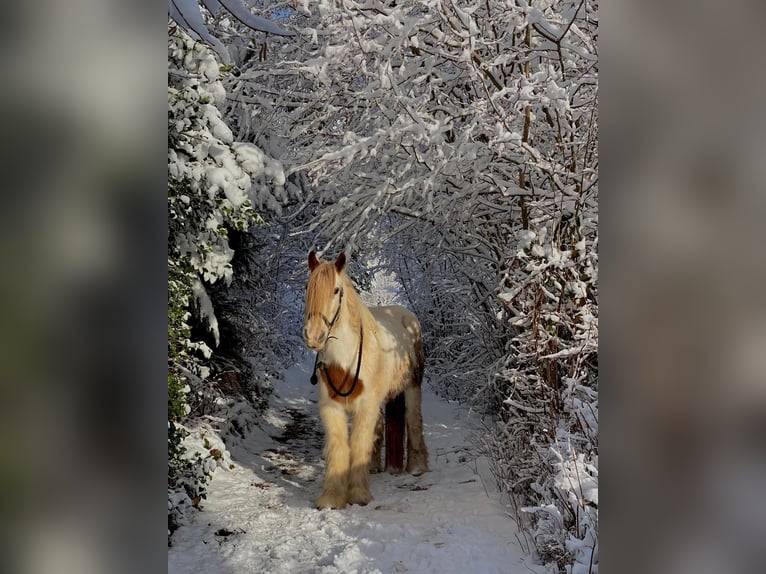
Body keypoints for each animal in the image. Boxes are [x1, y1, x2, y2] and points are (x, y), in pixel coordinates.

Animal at [303, 251, 429, 509]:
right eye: (308, 287)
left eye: (336, 290)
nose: (313, 336)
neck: (345, 363)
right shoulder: (332, 408)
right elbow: (339, 447)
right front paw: (332, 498)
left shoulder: (366, 406)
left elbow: (359, 443)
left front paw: (359, 495)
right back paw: (374, 466)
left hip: (412, 387)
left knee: (413, 420)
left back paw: (417, 467)